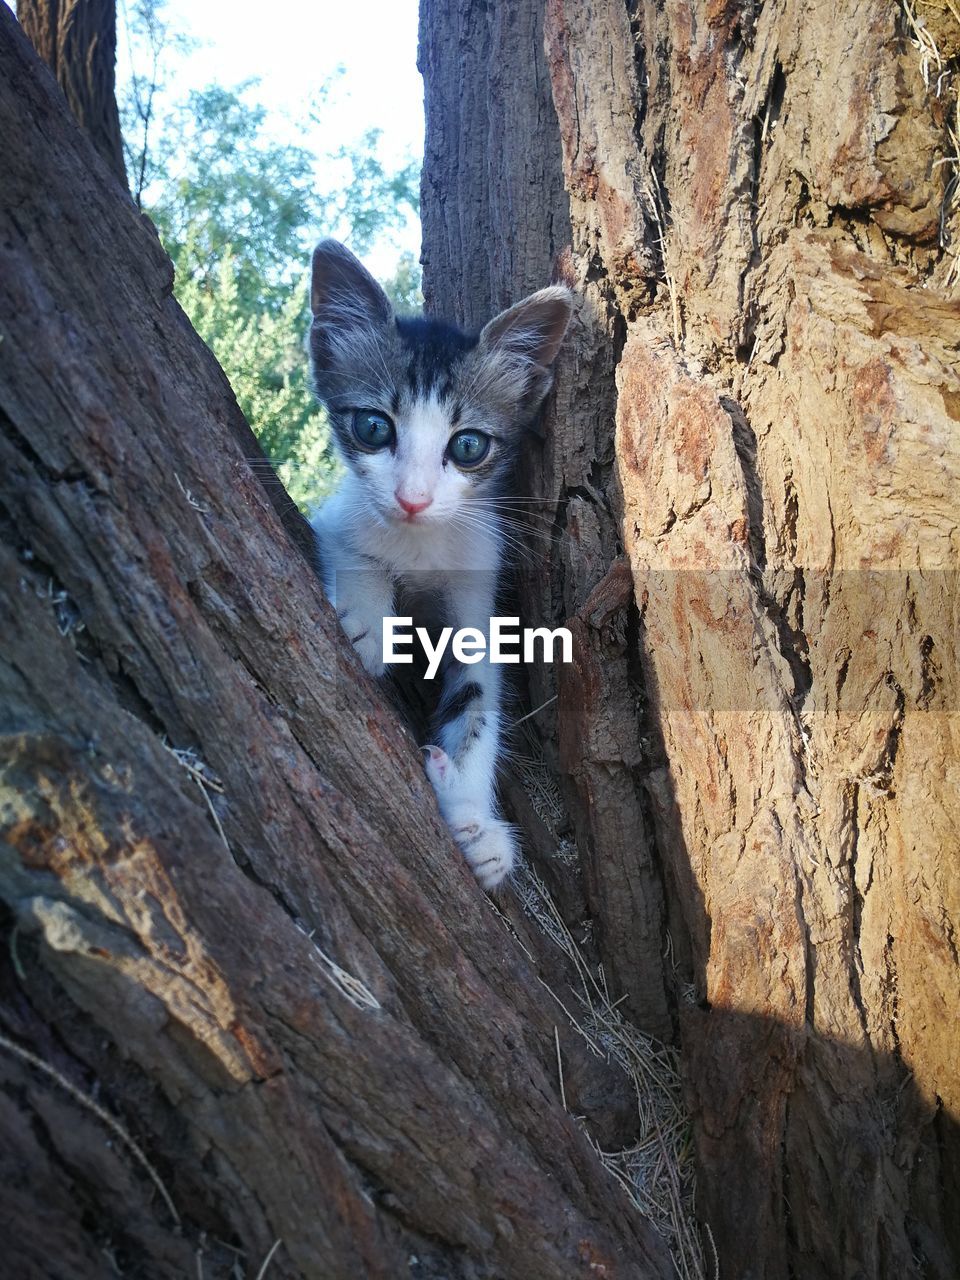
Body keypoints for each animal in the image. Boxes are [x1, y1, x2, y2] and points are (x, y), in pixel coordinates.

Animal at [308, 240, 570, 890]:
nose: (413, 499)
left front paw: (476, 825)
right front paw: (370, 628)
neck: (421, 546)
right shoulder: (335, 516)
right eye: (373, 427)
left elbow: (477, 697)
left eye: (468, 445)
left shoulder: (478, 586)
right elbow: (355, 550)